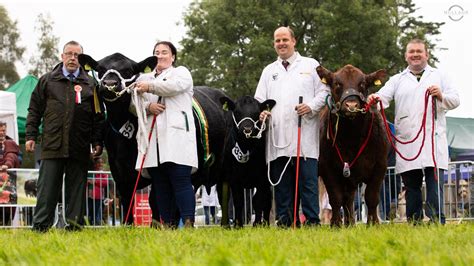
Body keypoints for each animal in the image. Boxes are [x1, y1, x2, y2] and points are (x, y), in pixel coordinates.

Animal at [78, 52, 228, 224]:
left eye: (128, 70)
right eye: (101, 69)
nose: (110, 84)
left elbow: (156, 202)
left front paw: (157, 225)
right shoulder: (119, 170)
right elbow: (127, 202)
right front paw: (129, 225)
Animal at [219, 95, 276, 227]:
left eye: (257, 113)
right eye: (237, 112)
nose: (247, 129)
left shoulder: (262, 179)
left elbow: (259, 201)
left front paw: (258, 224)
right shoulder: (234, 179)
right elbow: (238, 201)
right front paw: (238, 224)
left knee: (266, 201)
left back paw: (265, 223)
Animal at [316, 64, 390, 227]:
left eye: (362, 83)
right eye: (337, 83)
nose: (351, 105)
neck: (352, 138)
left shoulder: (380, 166)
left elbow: (371, 197)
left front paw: (373, 223)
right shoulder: (327, 168)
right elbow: (335, 198)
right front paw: (336, 224)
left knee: (349, 199)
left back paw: (350, 222)